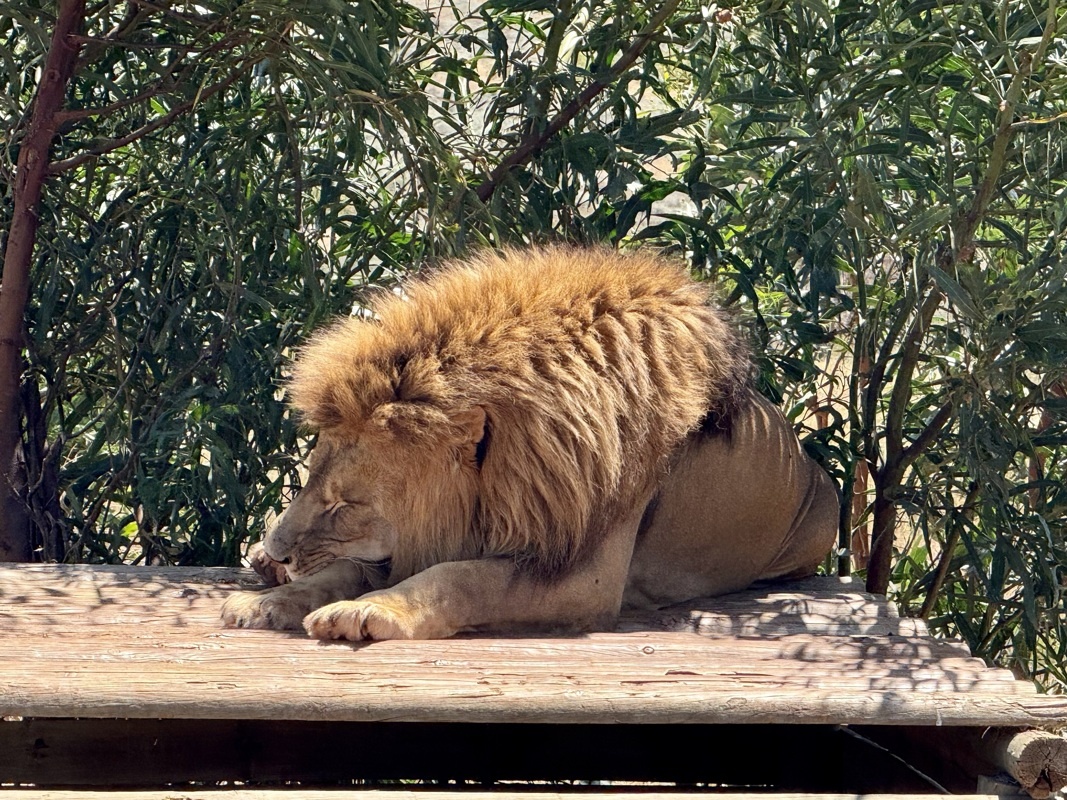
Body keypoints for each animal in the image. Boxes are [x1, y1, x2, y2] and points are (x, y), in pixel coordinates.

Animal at [221, 246, 838, 640]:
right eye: (308, 481)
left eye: (345, 505)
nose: (279, 550)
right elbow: (340, 571)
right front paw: (265, 601)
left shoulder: (583, 577)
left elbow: (461, 578)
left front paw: (367, 613)